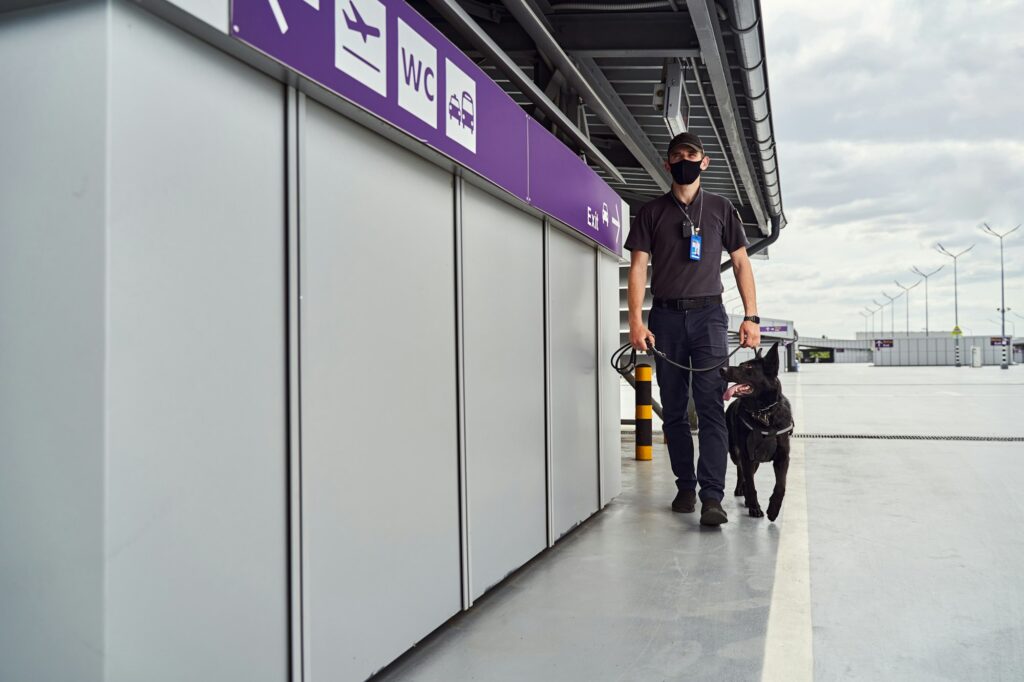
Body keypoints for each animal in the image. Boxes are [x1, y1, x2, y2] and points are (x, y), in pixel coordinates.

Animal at [720, 342, 790, 518]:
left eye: (748, 367)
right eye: (740, 364)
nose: (721, 369)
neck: (764, 413)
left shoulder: (783, 457)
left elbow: (781, 485)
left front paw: (773, 509)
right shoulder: (747, 455)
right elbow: (750, 484)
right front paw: (754, 507)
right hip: (735, 453)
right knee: (741, 472)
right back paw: (741, 490)